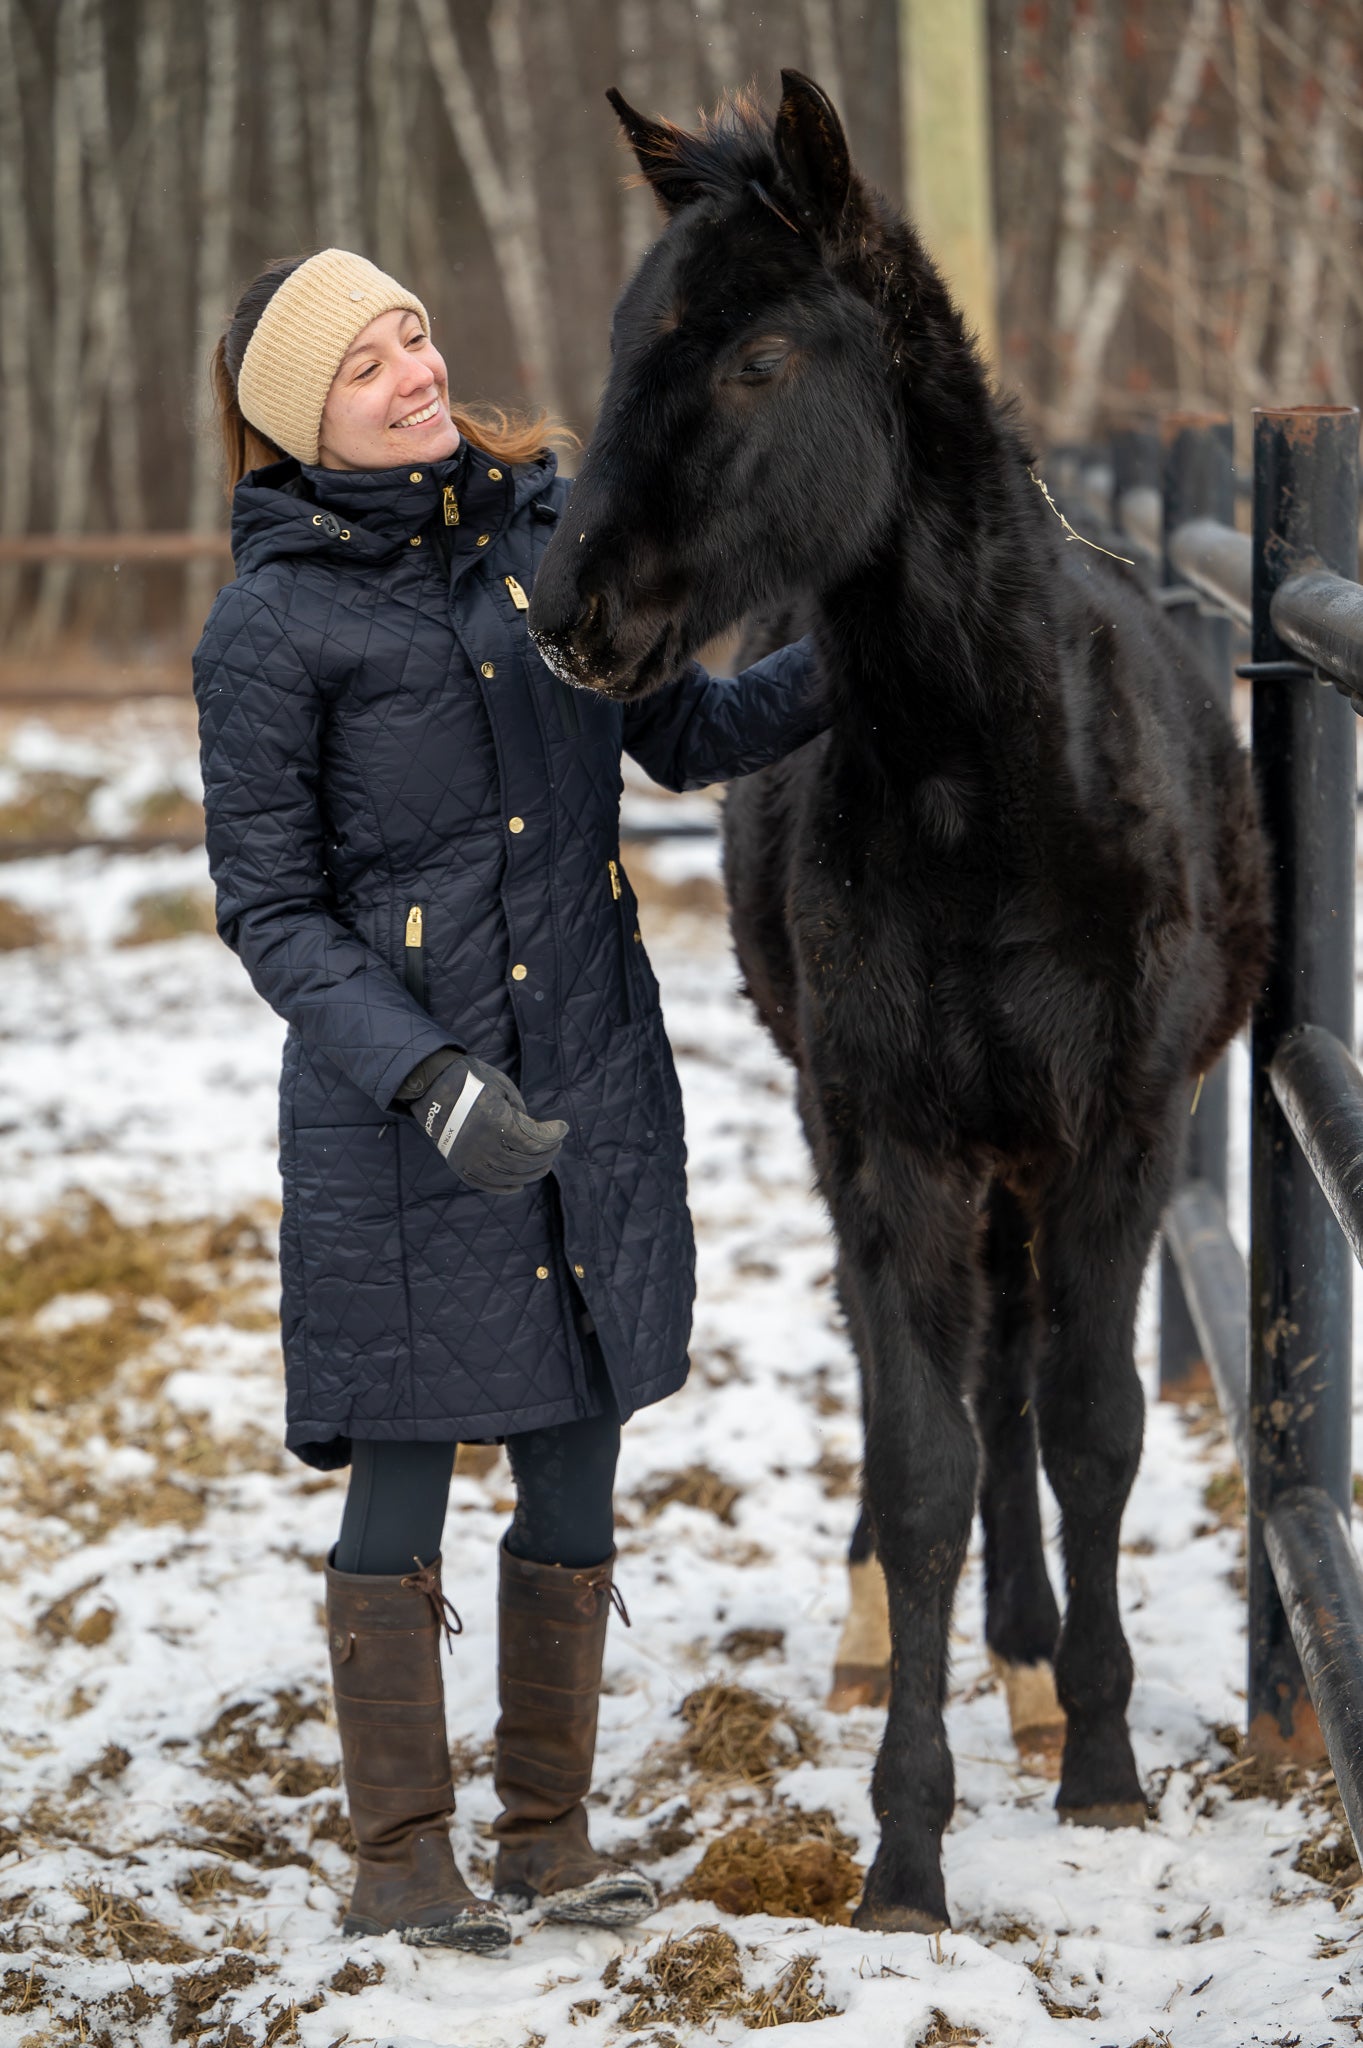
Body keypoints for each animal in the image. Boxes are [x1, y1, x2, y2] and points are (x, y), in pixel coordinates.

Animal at [523, 72, 1268, 1925]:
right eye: (633, 334)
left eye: (756, 357)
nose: (571, 610)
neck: (984, 785)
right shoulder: (896, 1144)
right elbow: (922, 1460)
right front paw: (906, 1849)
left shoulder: (1117, 1138)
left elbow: (1085, 1433)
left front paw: (1098, 1764)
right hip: (857, 1133)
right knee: (920, 1382)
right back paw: (918, 1637)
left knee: (1013, 1383)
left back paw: (1031, 1661)